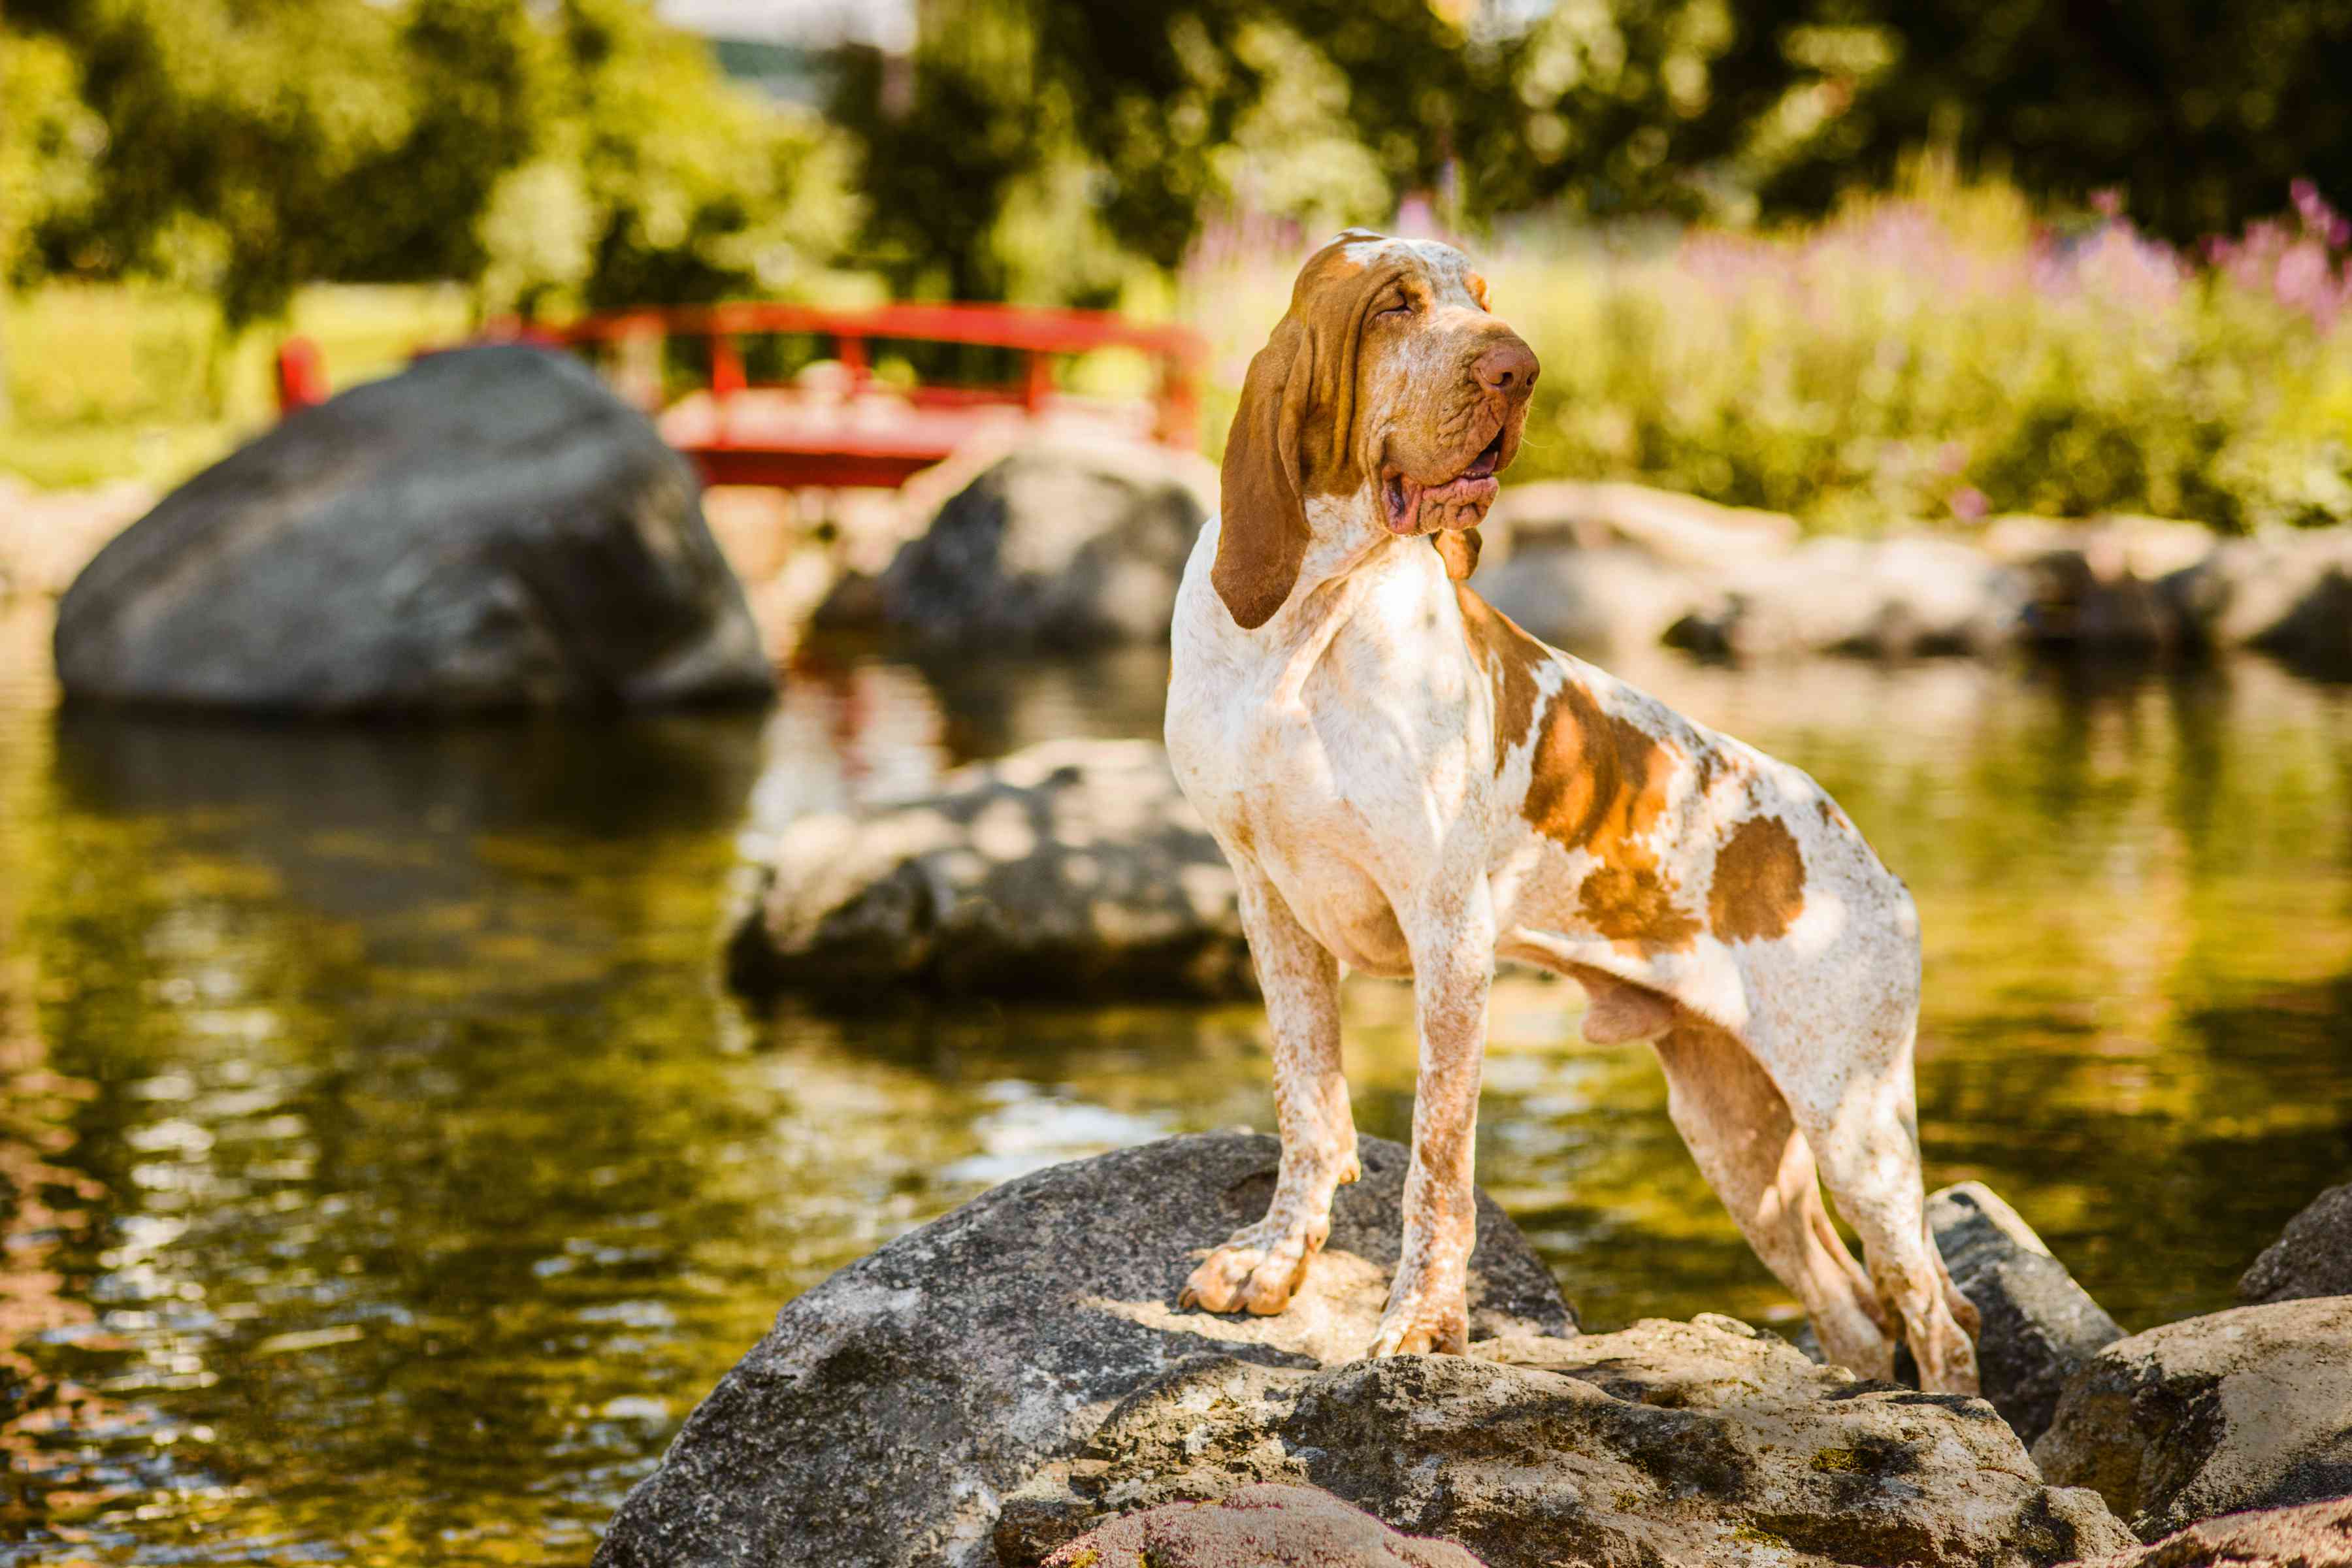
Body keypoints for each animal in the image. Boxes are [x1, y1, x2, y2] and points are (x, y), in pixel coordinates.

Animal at [1166, 227, 1976, 1392]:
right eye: (1397, 305)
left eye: (1481, 296)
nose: (1520, 369)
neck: (1309, 628)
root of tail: (1881, 871)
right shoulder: (1269, 904)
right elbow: (1309, 1105)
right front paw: (1275, 1265)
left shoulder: (1449, 937)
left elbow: (1437, 1165)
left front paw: (1422, 1327)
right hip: (1737, 1137)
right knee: (1858, 1315)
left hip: (1854, 1123)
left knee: (1935, 1314)